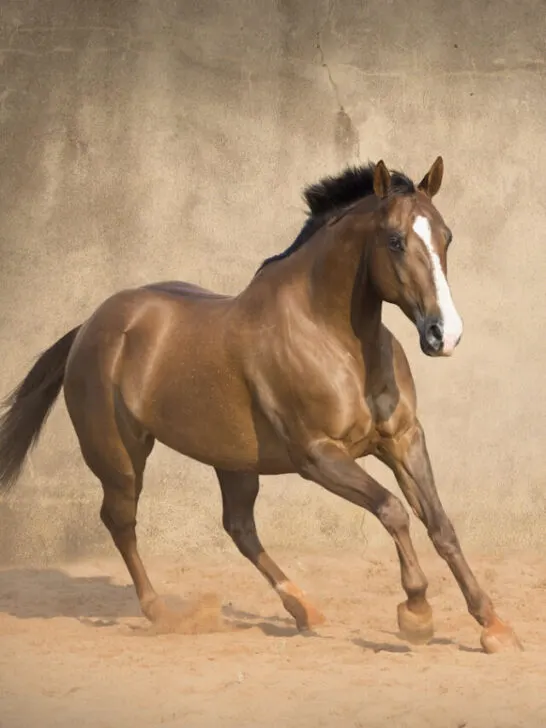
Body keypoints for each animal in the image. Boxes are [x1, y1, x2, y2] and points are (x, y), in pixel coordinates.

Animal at [0, 157, 522, 654]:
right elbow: (392, 510)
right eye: (394, 240)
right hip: (120, 458)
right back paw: (161, 612)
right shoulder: (318, 455)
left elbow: (440, 524)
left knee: (238, 527)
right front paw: (416, 614)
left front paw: (494, 627)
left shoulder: (402, 439)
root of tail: (89, 326)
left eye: (446, 236)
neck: (333, 338)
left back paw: (305, 610)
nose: (444, 335)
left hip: (231, 460)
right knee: (121, 521)